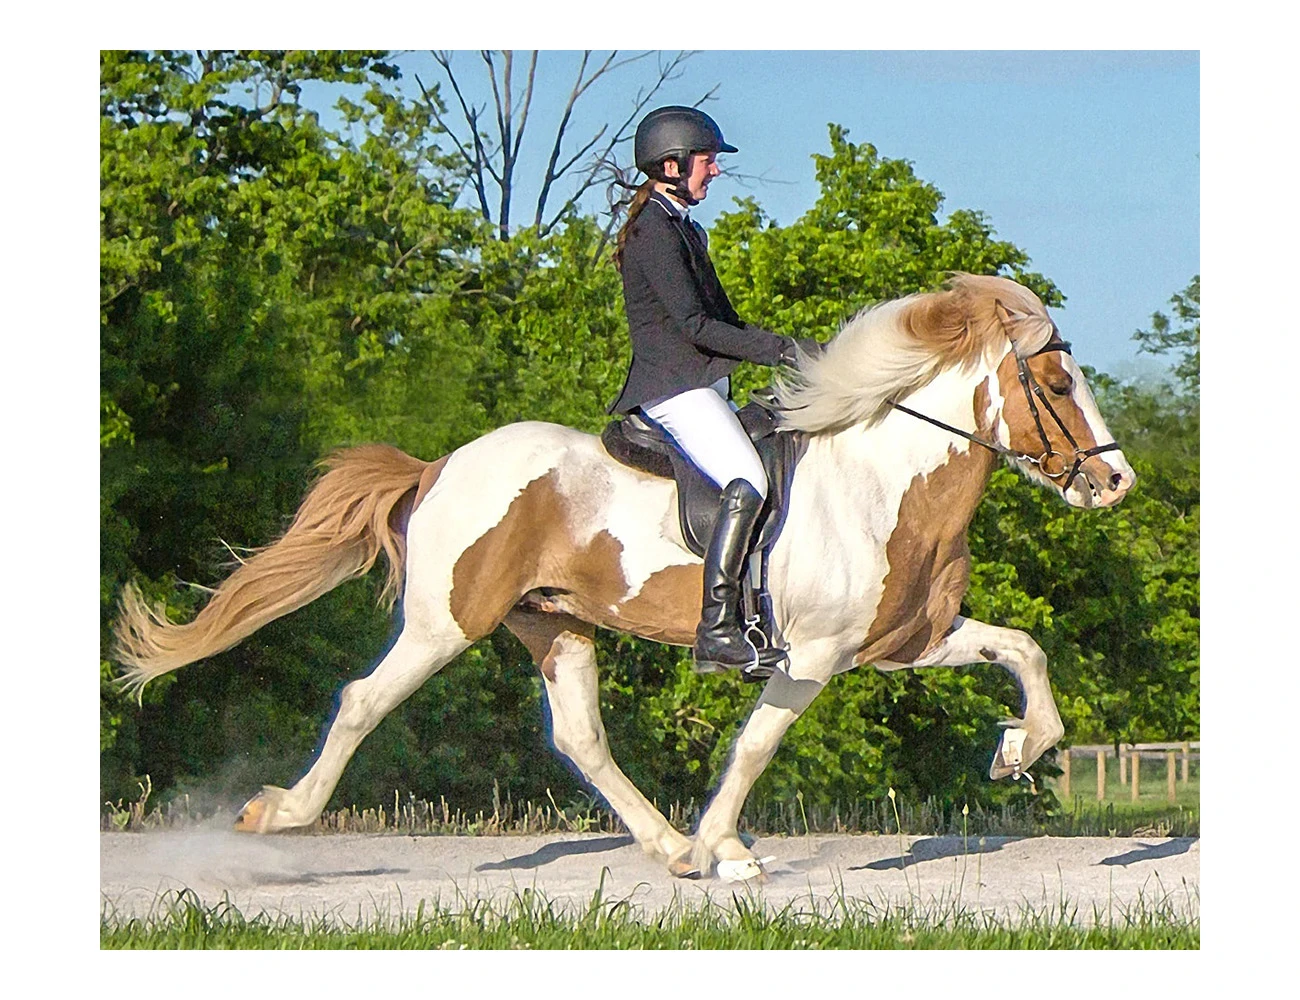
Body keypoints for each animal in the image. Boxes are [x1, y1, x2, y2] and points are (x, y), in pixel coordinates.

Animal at [113, 273, 1135, 880]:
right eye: (1055, 383)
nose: (1117, 482)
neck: (881, 478)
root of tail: (440, 466)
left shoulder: (901, 641)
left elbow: (1025, 651)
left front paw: (1016, 749)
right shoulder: (812, 656)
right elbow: (754, 746)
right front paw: (730, 848)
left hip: (554, 622)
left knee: (580, 738)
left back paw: (669, 845)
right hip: (448, 623)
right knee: (365, 701)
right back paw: (276, 815)